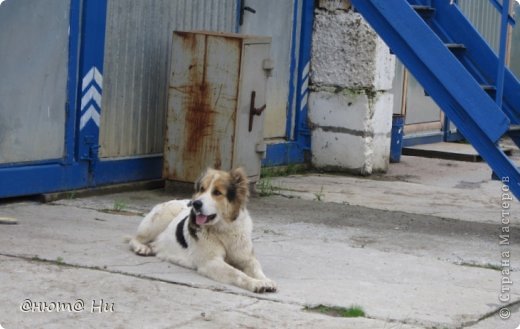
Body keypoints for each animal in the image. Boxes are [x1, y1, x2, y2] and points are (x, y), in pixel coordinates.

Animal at [128, 167, 278, 292]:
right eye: (202, 189)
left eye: (217, 192)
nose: (196, 204)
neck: (224, 229)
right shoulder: (211, 262)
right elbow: (237, 273)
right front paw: (255, 283)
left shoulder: (247, 258)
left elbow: (256, 269)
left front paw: (265, 280)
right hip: (161, 217)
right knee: (134, 238)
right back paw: (142, 247)